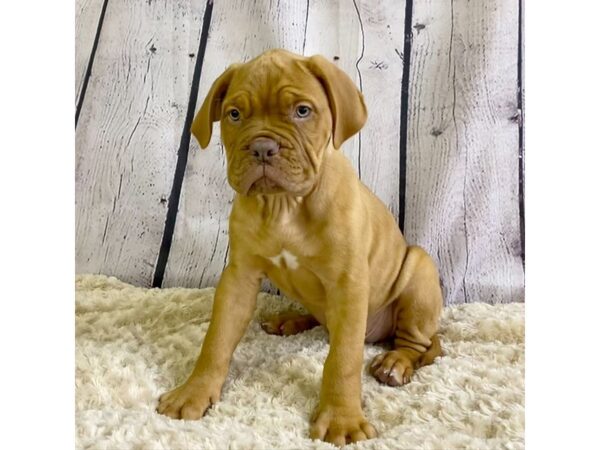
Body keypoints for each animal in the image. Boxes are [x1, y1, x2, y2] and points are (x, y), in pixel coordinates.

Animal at [157, 48, 442, 442]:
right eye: (234, 114)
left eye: (302, 111)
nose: (262, 147)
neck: (284, 205)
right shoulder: (239, 278)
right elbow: (216, 340)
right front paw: (194, 392)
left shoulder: (348, 284)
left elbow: (343, 358)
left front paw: (341, 419)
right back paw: (289, 319)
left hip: (419, 270)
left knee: (418, 343)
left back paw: (395, 363)